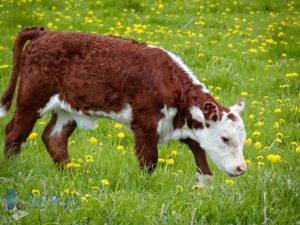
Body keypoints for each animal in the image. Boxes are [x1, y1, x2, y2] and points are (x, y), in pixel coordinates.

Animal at [0, 27, 246, 185]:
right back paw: (11, 170)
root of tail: (44, 33)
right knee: (14, 133)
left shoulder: (180, 122)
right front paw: (146, 188)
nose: (241, 168)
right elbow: (149, 161)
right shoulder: (146, 123)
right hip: (31, 99)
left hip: (66, 108)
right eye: (225, 138)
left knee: (54, 138)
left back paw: (71, 177)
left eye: (242, 139)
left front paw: (204, 186)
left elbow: (199, 150)